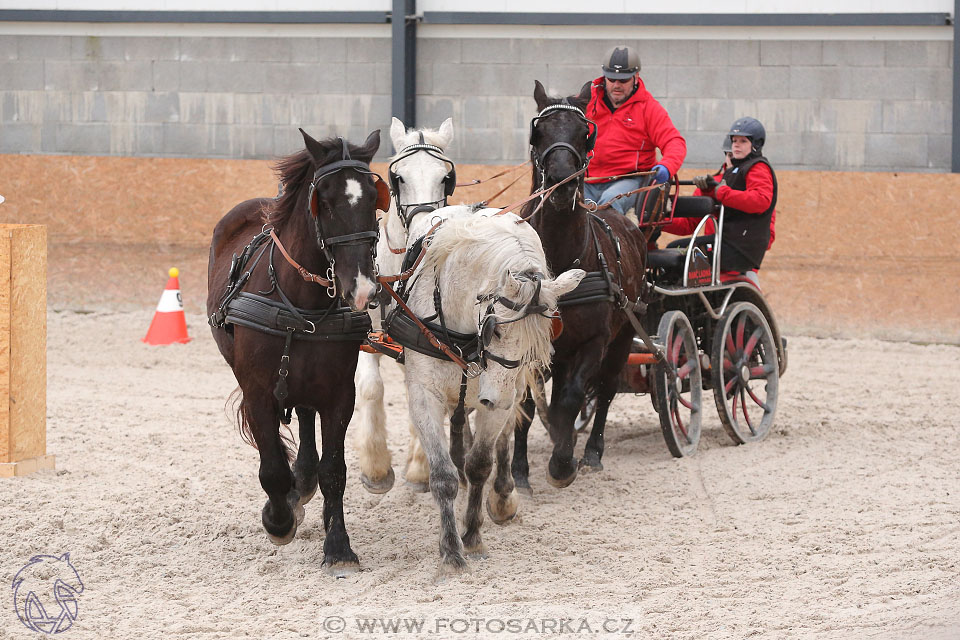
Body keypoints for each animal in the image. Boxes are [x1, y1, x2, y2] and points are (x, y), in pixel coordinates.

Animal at [206, 127, 386, 572]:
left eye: (374, 199)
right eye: (326, 200)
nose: (362, 288)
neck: (302, 303)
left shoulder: (340, 393)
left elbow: (334, 471)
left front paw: (338, 546)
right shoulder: (257, 392)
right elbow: (271, 468)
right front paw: (279, 519)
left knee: (305, 416)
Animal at [352, 117, 458, 492]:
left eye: (445, 177)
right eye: (398, 177)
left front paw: (420, 467)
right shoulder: (365, 337)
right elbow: (371, 388)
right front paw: (375, 470)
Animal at [398, 208, 584, 572]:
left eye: (539, 342)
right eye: (495, 331)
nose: (494, 399)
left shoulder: (503, 397)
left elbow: (481, 464)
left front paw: (472, 537)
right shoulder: (424, 394)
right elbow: (442, 475)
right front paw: (451, 552)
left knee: (503, 438)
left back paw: (503, 495)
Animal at [510, 80, 652, 490]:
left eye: (582, 132)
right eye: (539, 131)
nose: (562, 181)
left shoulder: (594, 341)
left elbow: (573, 398)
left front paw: (562, 463)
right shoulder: (530, 343)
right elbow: (529, 403)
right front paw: (520, 471)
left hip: (623, 337)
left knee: (604, 390)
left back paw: (590, 453)